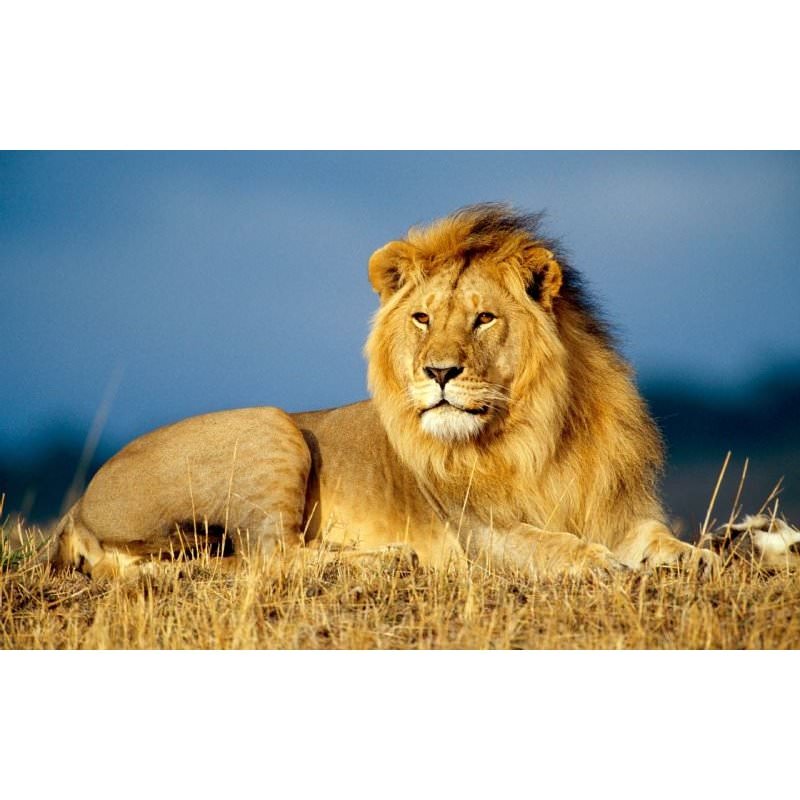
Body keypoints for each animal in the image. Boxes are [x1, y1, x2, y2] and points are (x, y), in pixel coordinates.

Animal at [44, 203, 718, 579]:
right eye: (421, 318)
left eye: (483, 319)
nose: (439, 372)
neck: (539, 432)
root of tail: (77, 506)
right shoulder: (479, 533)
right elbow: (547, 544)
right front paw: (596, 562)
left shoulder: (616, 507)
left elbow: (655, 537)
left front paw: (700, 556)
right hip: (271, 426)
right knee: (269, 557)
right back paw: (387, 559)